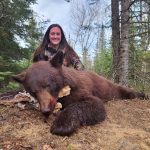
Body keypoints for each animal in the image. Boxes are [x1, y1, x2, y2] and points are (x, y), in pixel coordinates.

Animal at [12, 50, 146, 136]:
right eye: (33, 91)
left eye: (48, 85)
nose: (46, 110)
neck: (62, 92)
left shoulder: (79, 89)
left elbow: (94, 105)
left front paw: (62, 125)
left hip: (111, 87)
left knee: (123, 90)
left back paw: (142, 94)